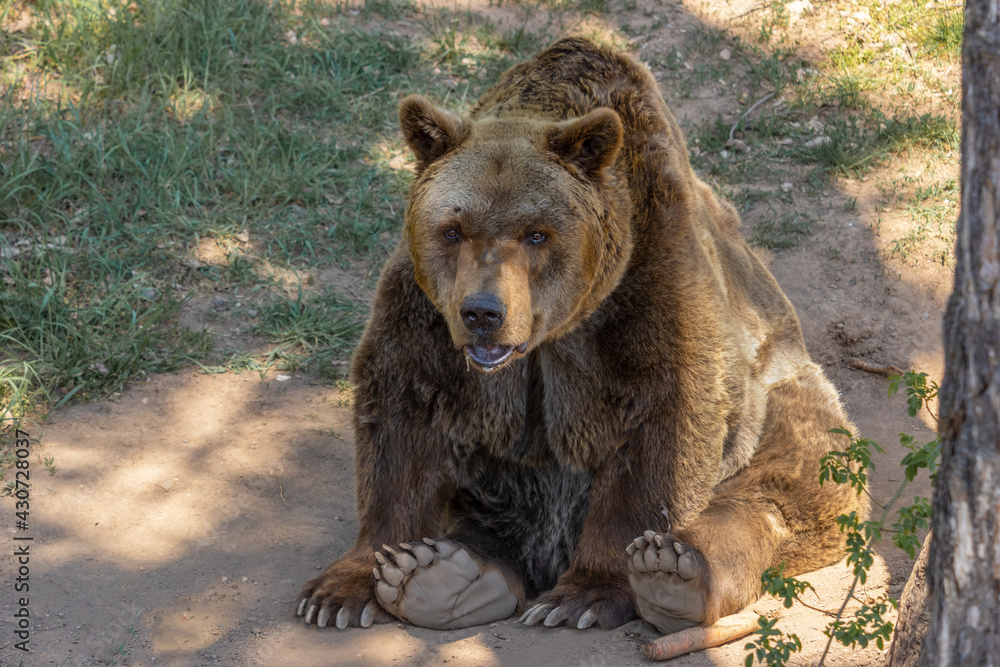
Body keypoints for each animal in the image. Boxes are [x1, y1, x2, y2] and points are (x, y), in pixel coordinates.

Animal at [292, 36, 864, 636]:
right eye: (452, 229)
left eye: (536, 233)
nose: (483, 313)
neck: (549, 336)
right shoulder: (424, 318)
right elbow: (400, 421)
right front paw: (344, 586)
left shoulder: (644, 287)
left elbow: (667, 422)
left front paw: (586, 594)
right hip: (500, 484)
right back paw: (442, 575)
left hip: (781, 388)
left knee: (793, 478)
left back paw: (679, 573)